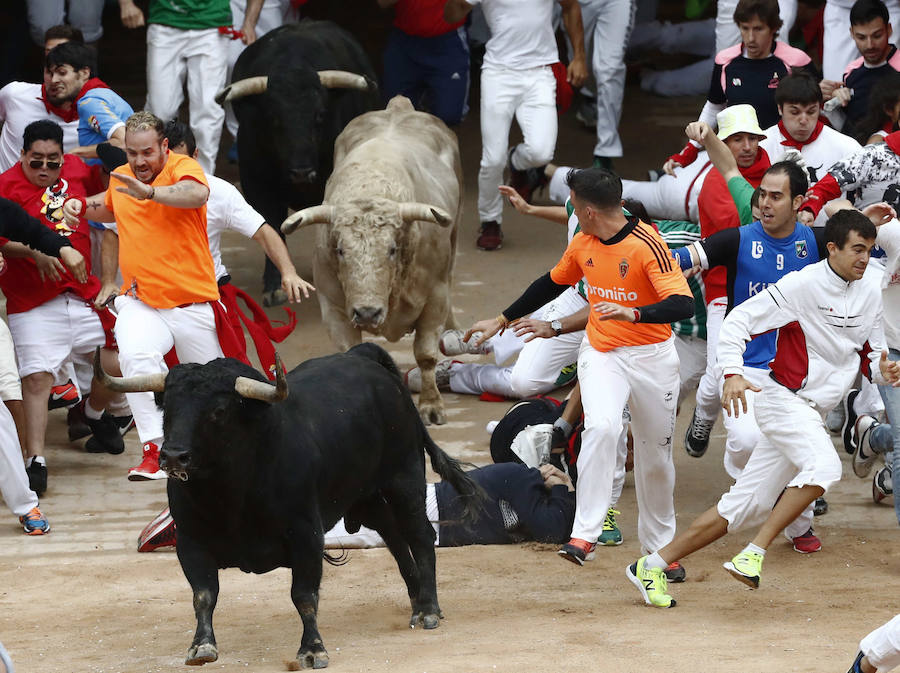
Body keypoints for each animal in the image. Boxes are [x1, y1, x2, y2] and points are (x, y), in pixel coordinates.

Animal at [95, 344, 482, 668]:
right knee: (396, 539)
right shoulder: (191, 541)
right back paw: (416, 601)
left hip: (404, 477)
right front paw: (201, 646)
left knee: (419, 534)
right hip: (367, 497)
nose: (174, 456)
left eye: (218, 411)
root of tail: (364, 356)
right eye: (168, 410)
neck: (230, 492)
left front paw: (312, 650)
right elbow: (203, 595)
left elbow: (304, 595)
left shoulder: (305, 536)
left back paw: (429, 609)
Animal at [282, 95, 460, 422]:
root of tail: (399, 107)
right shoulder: (334, 307)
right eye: (341, 250)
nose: (367, 313)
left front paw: (432, 406)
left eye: (391, 249)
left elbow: (426, 354)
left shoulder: (436, 297)